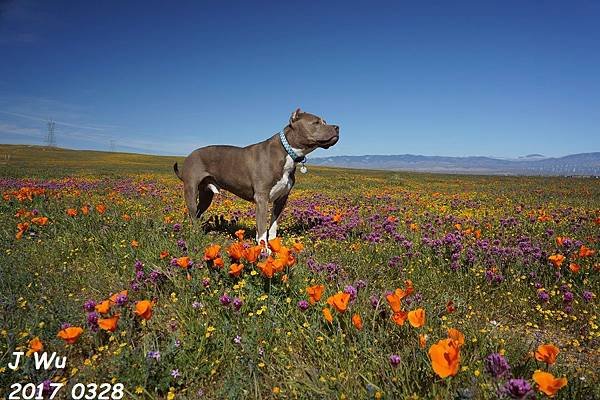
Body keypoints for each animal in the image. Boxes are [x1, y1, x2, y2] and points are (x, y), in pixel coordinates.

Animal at [173, 108, 340, 242]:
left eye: (325, 121)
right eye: (317, 122)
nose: (337, 127)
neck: (287, 152)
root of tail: (190, 155)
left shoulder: (281, 199)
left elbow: (272, 227)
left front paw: (273, 248)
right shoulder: (262, 198)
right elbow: (261, 230)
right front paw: (263, 251)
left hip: (206, 195)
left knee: (197, 213)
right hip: (191, 189)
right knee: (193, 213)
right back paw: (196, 234)